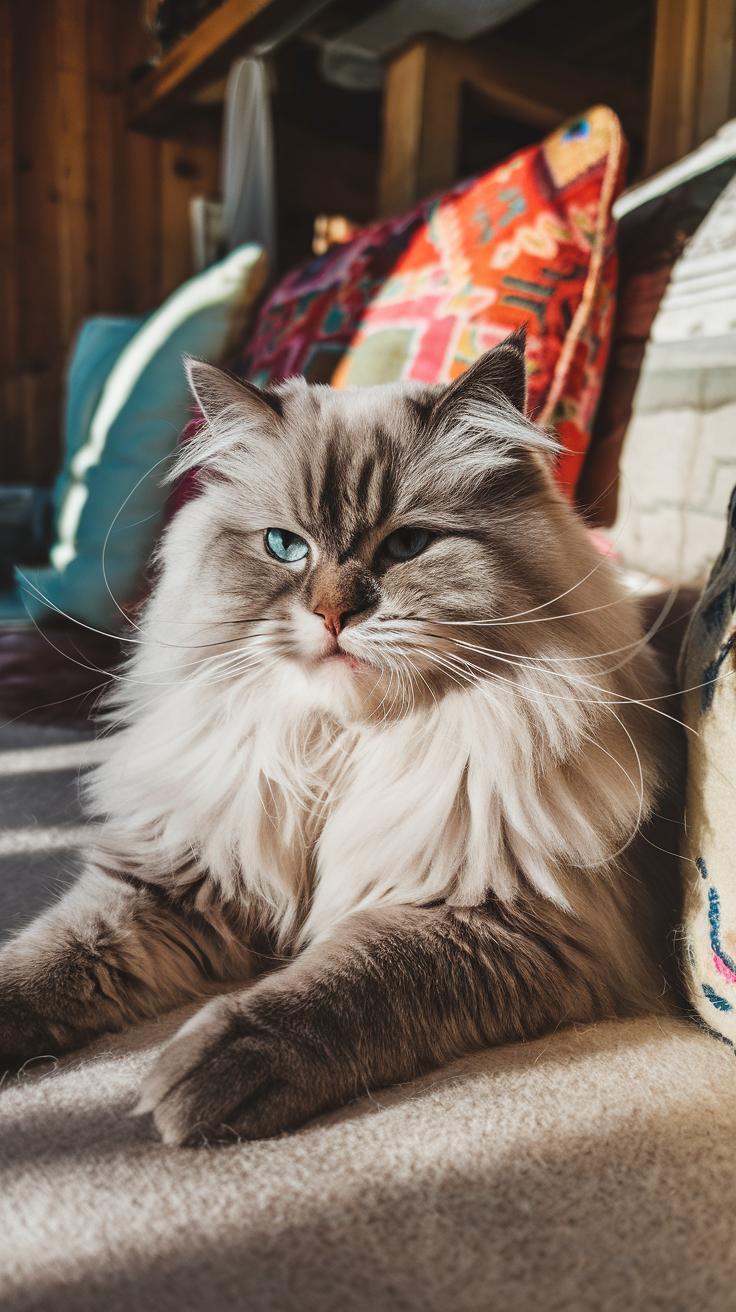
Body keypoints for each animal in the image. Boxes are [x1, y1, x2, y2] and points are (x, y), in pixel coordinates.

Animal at [0, 333, 676, 1144]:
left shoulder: (500, 917)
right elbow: (47, 960)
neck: (339, 750)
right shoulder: (184, 874)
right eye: (284, 547)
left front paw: (208, 1071)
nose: (331, 616)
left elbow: (342, 987)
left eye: (408, 545)